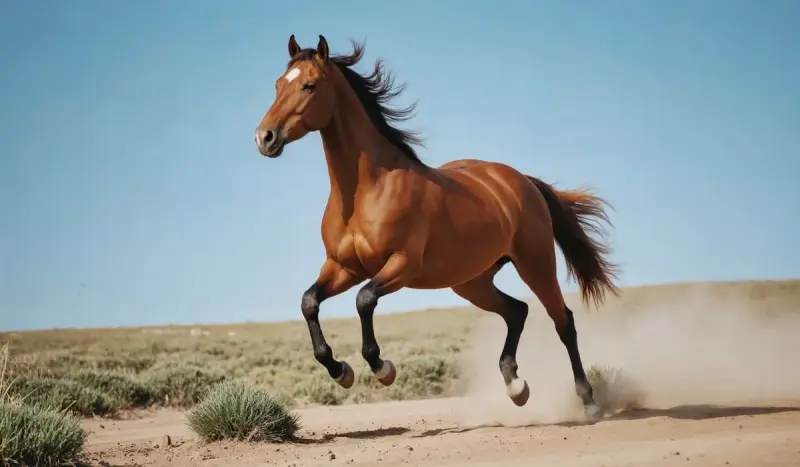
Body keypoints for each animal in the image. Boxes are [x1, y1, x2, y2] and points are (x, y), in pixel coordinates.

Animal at [254, 35, 621, 420]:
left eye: (309, 85)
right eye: (277, 84)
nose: (264, 137)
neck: (368, 190)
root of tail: (522, 181)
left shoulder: (401, 265)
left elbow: (364, 300)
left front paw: (382, 368)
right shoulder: (343, 268)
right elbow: (310, 302)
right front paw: (341, 371)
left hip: (535, 264)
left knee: (563, 321)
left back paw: (589, 402)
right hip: (471, 281)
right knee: (517, 311)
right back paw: (515, 386)